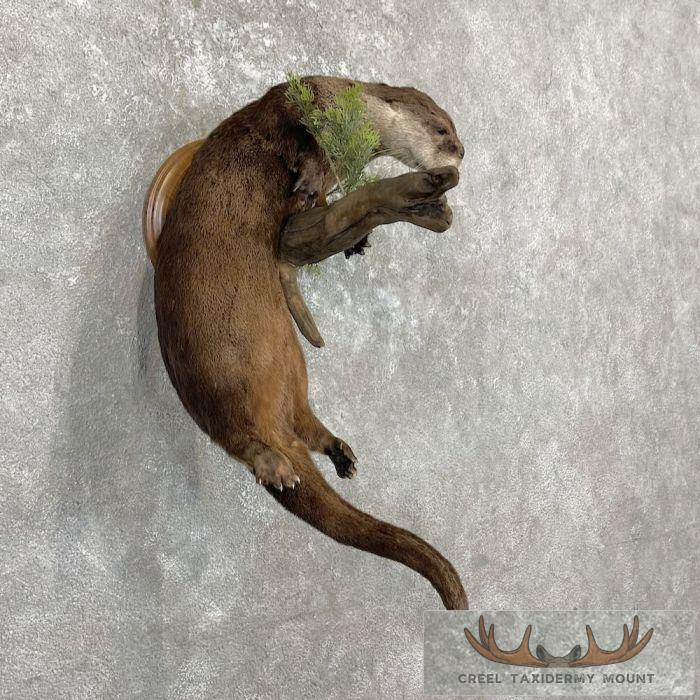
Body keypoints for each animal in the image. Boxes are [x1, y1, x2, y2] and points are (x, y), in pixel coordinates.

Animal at [153, 76, 468, 609]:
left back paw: (339, 452)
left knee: (301, 418)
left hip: (291, 357)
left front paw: (353, 238)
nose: (461, 152)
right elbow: (301, 140)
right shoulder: (292, 104)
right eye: (443, 128)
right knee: (234, 432)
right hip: (212, 365)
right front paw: (309, 180)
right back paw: (275, 466)